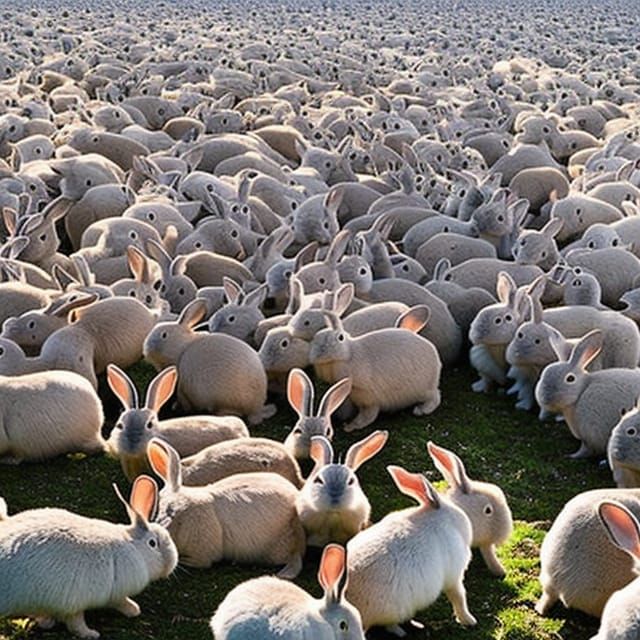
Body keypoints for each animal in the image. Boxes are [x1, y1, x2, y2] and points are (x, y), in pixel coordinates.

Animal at [0, 476, 177, 639]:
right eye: (153, 543)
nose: (171, 563)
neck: (135, 547)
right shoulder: (96, 599)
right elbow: (109, 608)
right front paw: (133, 610)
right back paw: (91, 633)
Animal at [309, 306, 442, 431]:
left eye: (340, 337)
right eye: (315, 337)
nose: (321, 352)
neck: (348, 354)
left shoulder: (366, 396)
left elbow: (367, 416)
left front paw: (350, 427)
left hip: (423, 390)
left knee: (436, 397)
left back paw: (421, 410)